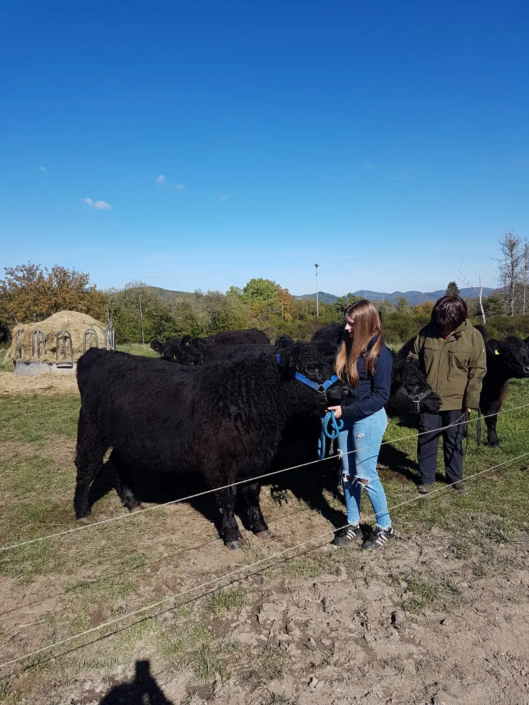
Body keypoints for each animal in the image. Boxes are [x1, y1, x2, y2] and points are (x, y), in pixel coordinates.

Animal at [73, 344, 346, 548]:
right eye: (311, 367)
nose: (344, 388)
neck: (247, 399)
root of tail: (98, 353)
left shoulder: (256, 459)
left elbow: (252, 493)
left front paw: (260, 527)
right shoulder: (220, 463)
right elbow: (227, 498)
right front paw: (233, 535)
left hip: (126, 440)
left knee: (119, 464)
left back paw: (132, 501)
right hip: (91, 430)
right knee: (86, 467)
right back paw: (82, 512)